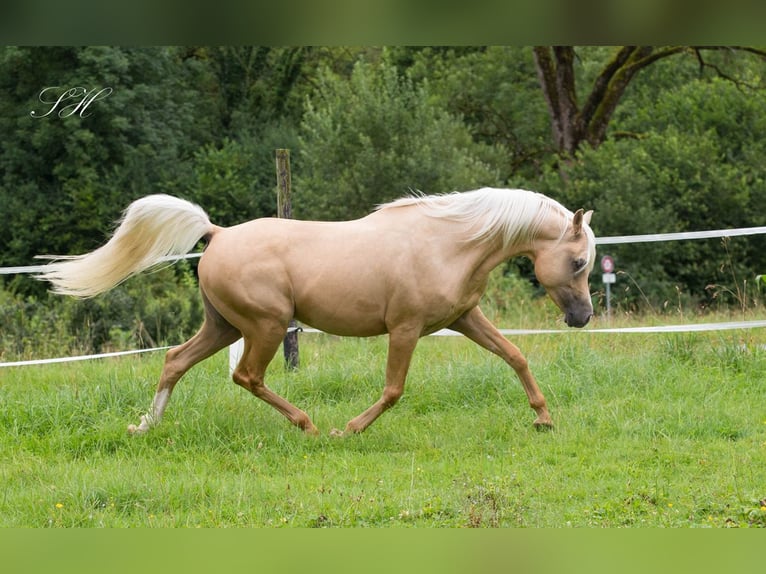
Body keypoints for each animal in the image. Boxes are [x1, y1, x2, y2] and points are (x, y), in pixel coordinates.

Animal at [37, 189, 600, 436]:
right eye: (578, 262)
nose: (583, 319)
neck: (448, 243)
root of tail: (217, 233)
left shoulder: (463, 318)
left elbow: (515, 355)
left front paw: (544, 419)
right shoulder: (406, 329)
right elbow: (393, 390)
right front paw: (347, 429)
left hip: (224, 326)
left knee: (175, 359)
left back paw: (144, 427)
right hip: (263, 327)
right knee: (247, 376)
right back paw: (307, 425)